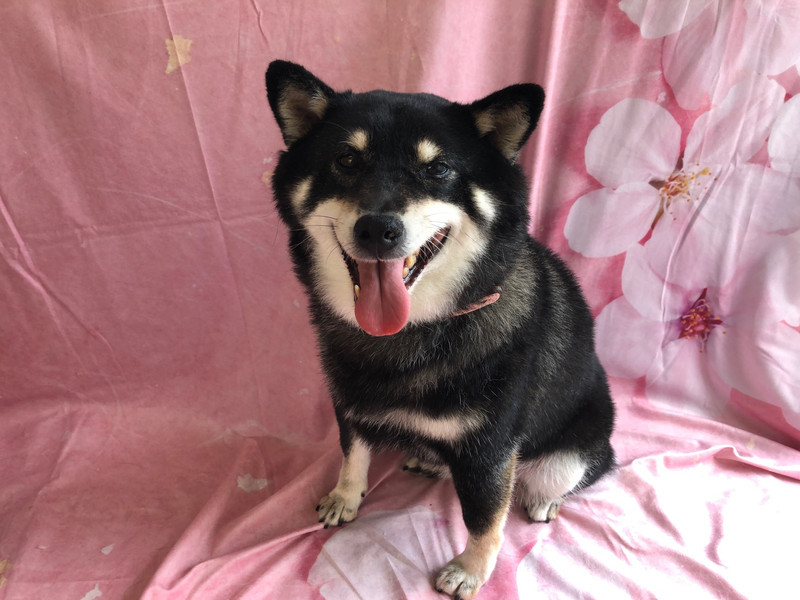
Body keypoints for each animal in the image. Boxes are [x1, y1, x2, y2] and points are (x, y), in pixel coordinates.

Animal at [265, 60, 615, 599]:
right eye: (346, 159)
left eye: (438, 169)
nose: (377, 229)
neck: (412, 331)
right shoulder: (349, 401)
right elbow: (353, 452)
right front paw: (346, 496)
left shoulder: (492, 447)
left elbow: (485, 517)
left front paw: (471, 569)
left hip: (570, 454)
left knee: (562, 477)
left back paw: (546, 499)